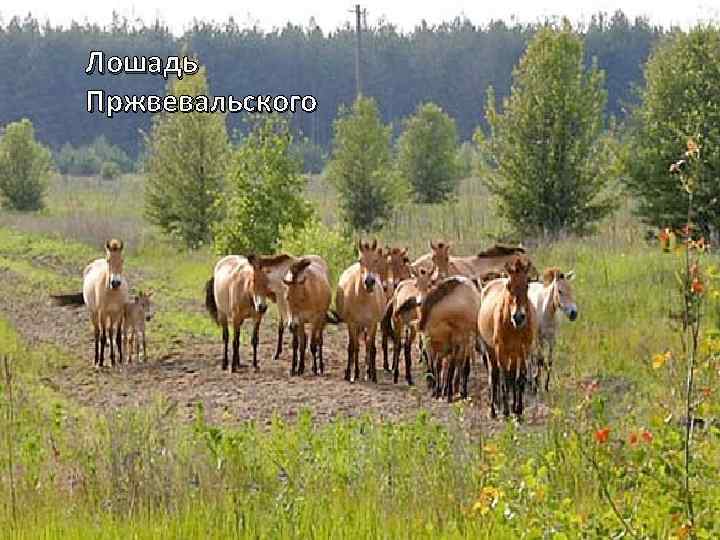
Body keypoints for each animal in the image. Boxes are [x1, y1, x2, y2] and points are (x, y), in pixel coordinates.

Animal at [51, 239, 129, 367]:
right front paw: (101, 361)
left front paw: (118, 360)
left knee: (109, 332)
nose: (115, 283)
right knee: (97, 333)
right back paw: (96, 359)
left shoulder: (118, 313)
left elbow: (116, 335)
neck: (113, 292)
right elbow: (103, 337)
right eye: (108, 260)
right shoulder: (102, 313)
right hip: (93, 313)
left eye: (122, 260)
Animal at [335, 239, 387, 383]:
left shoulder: (372, 324)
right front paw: (352, 374)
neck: (363, 299)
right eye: (360, 260)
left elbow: (370, 347)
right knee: (354, 346)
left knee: (369, 346)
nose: (369, 282)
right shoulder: (352, 323)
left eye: (376, 260)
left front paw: (370, 374)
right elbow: (354, 347)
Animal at [477, 257, 535, 419]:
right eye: (509, 286)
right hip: (490, 349)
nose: (518, 317)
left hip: (513, 353)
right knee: (494, 375)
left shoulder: (523, 349)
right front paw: (506, 411)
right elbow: (504, 380)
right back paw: (493, 409)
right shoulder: (501, 349)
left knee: (510, 376)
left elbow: (519, 379)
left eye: (527, 284)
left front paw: (518, 410)